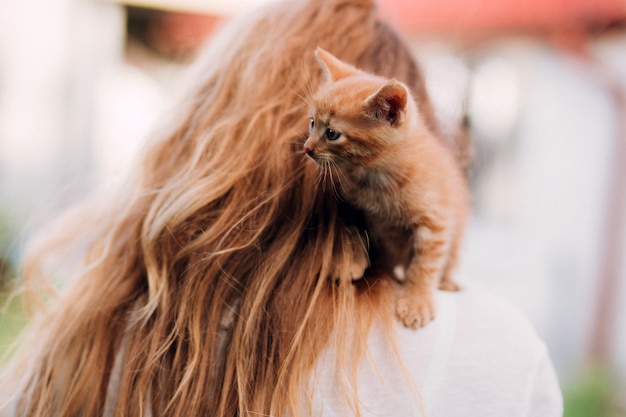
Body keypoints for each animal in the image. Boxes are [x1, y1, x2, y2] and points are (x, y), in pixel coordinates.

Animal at [304, 48, 466, 328]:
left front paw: (416, 301)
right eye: (313, 123)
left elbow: (424, 265)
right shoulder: (352, 207)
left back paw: (447, 282)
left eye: (332, 134)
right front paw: (350, 263)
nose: (307, 148)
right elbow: (353, 232)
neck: (375, 177)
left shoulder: (435, 222)